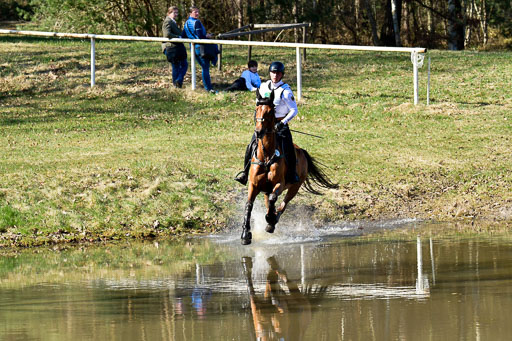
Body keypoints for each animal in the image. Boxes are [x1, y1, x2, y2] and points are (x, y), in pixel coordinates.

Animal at [241, 90, 340, 244]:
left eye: (270, 112)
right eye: (256, 109)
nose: (258, 132)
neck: (267, 156)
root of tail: (302, 151)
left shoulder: (280, 184)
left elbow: (273, 199)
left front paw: (270, 219)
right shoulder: (254, 184)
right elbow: (249, 205)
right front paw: (245, 234)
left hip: (294, 187)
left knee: (283, 204)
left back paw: (272, 222)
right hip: (267, 189)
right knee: (271, 202)